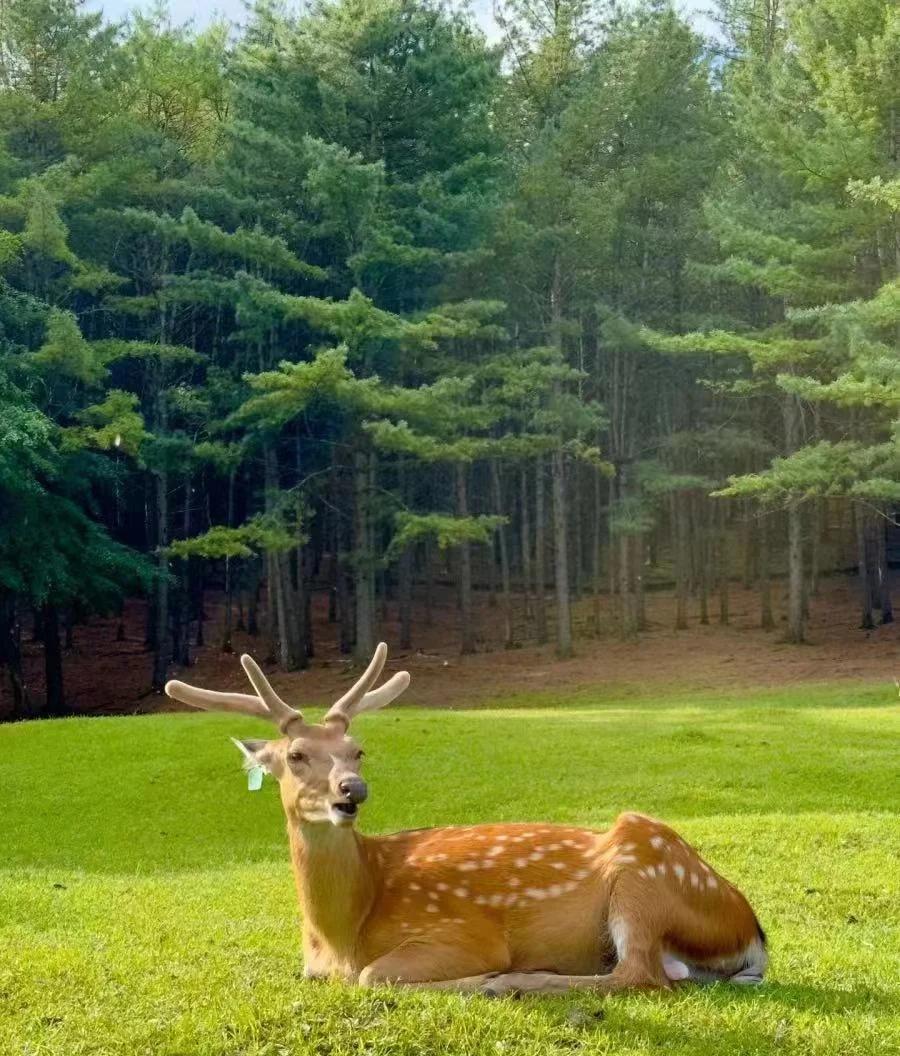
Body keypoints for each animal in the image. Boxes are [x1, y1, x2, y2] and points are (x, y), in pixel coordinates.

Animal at [165, 643, 767, 996]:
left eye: (358, 750)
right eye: (295, 756)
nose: (352, 791)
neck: (341, 933)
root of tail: (754, 933)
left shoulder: (459, 931)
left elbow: (373, 976)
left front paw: (482, 977)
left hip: (644, 872)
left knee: (638, 975)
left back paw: (512, 981)